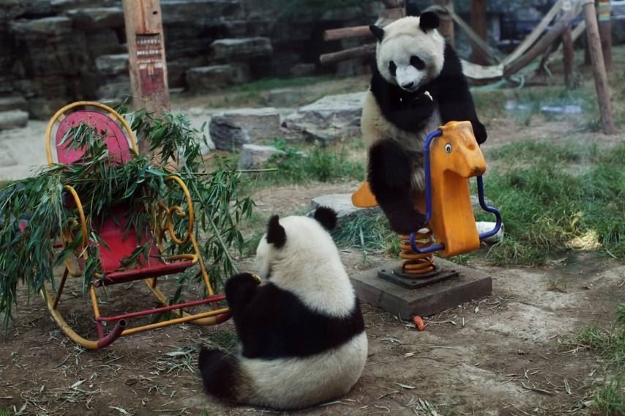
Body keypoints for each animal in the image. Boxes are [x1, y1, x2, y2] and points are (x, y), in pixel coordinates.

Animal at [197, 207, 368, 410]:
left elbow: (252, 336)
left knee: (220, 372)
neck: (316, 267)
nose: (256, 265)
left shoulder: (281, 311)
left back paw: (206, 355)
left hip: (259, 381)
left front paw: (242, 283)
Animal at [360, 11, 488, 236]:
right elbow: (397, 113)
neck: (419, 88)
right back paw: (409, 221)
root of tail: (419, 174)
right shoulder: (382, 82)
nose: (407, 84)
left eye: (415, 60)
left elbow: (457, 97)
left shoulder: (448, 63)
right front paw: (423, 104)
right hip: (386, 138)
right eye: (392, 66)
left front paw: (477, 131)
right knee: (388, 171)